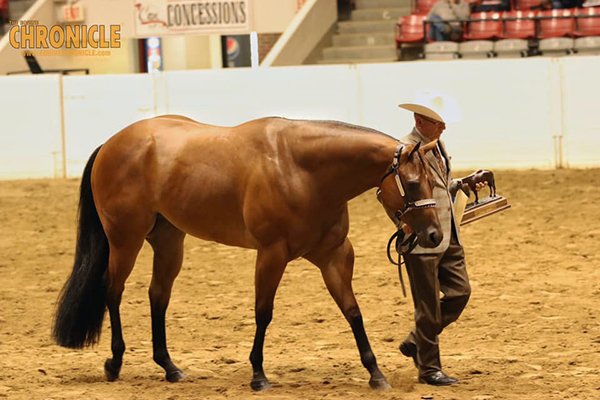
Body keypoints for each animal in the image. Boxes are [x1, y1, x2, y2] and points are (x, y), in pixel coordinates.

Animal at [52, 115, 440, 390]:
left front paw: (375, 372)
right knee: (112, 291)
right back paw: (115, 363)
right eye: (413, 183)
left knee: (157, 295)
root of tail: (112, 143)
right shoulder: (271, 254)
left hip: (168, 241)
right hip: (125, 240)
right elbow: (263, 313)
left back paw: (170, 367)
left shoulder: (334, 256)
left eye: (433, 180)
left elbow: (353, 311)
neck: (302, 171)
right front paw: (258, 374)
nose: (435, 234)